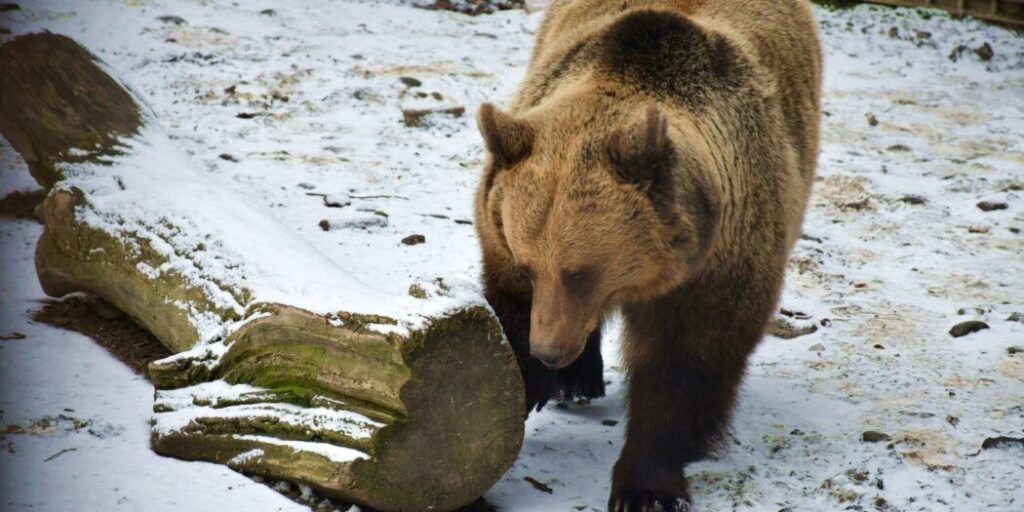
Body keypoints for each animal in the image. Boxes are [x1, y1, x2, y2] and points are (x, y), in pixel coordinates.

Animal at [473, 1, 823, 507]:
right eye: (529, 266)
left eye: (581, 272)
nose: (550, 351)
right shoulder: (502, 239)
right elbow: (508, 320)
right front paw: (522, 388)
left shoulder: (720, 258)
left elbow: (682, 367)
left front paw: (647, 488)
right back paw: (578, 380)